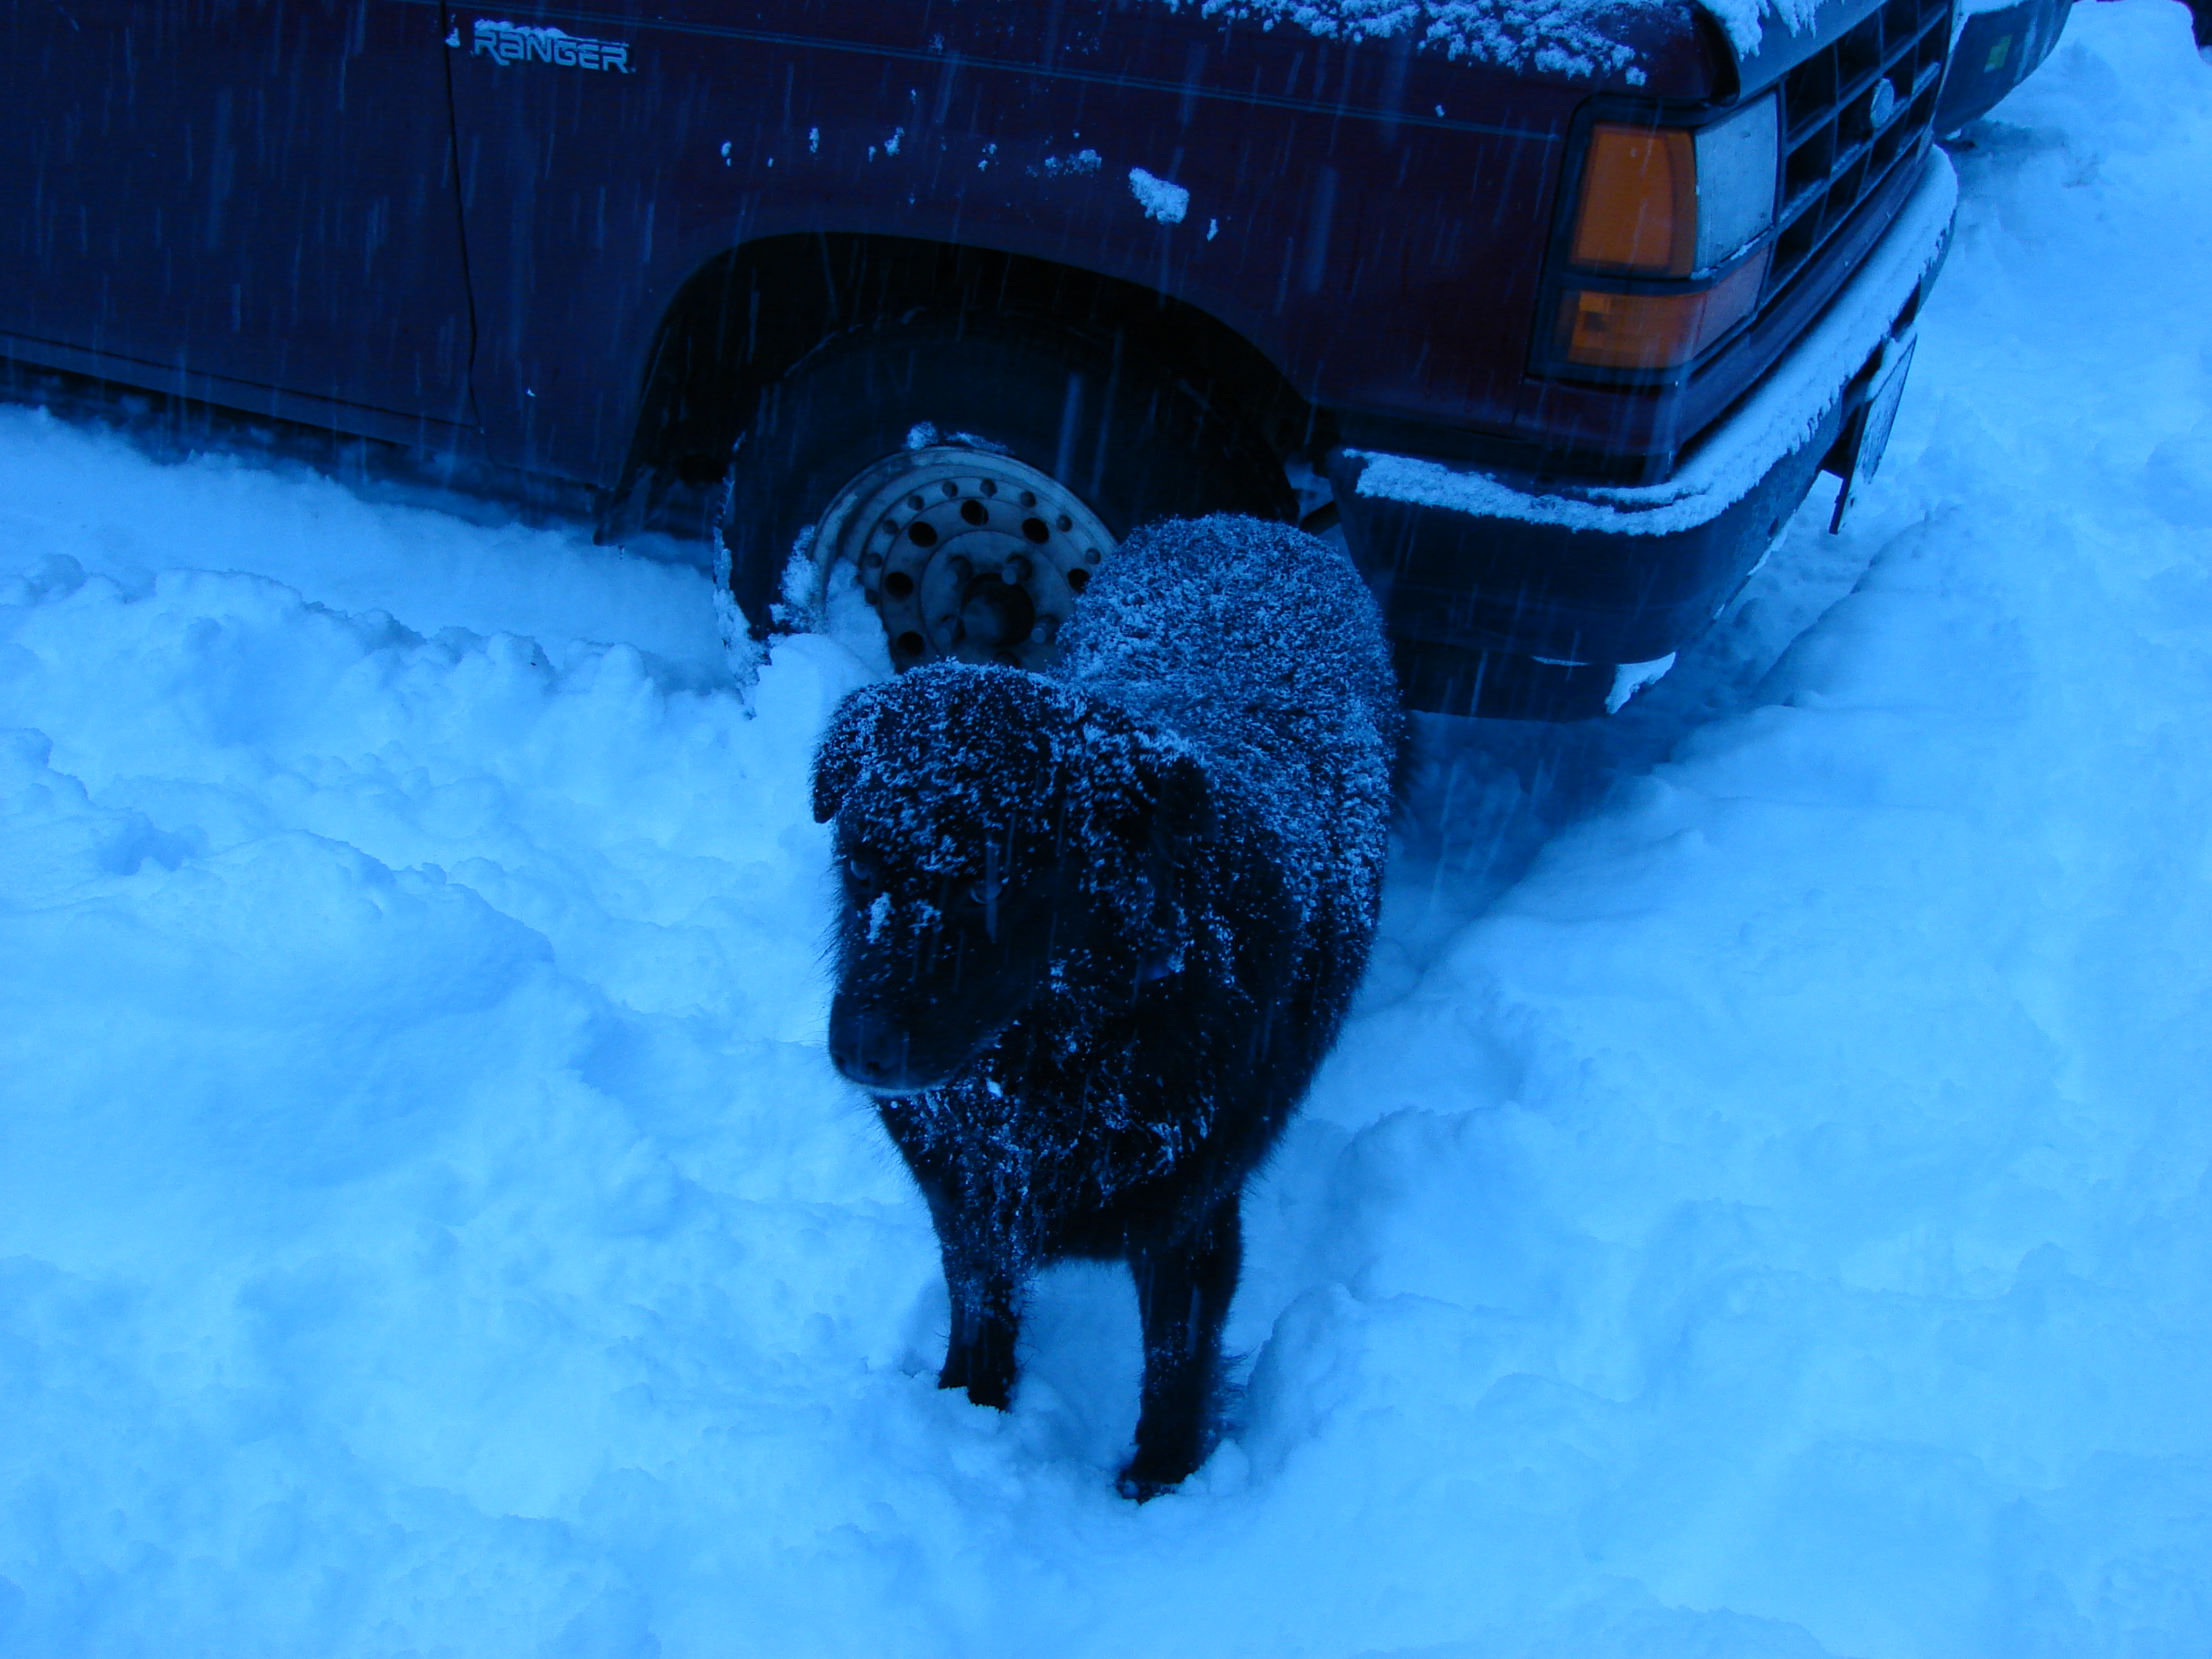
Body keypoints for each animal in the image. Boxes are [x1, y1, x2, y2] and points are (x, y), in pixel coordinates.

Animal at [814, 513, 1397, 1503]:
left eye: (993, 882)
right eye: (859, 860)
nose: (857, 1053)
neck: (1051, 1070)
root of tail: (1255, 523)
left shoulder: (1192, 1224)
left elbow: (1175, 1370)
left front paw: (1158, 1494)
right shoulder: (967, 1203)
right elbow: (980, 1315)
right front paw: (967, 1416)